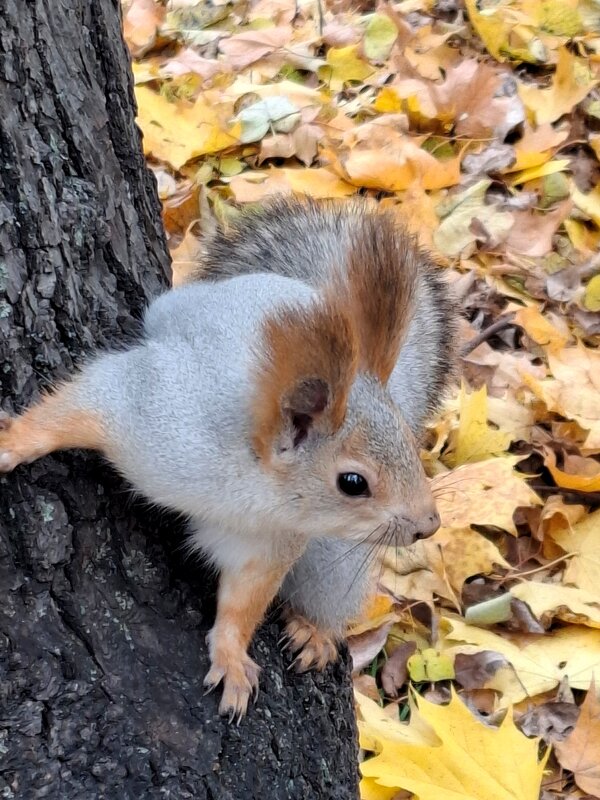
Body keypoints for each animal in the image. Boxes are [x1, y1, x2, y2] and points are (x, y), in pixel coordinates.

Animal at [0, 197, 454, 720]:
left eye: (408, 440)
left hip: (336, 554)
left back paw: (316, 630)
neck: (250, 490)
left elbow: (244, 602)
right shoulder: (154, 413)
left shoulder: (268, 542)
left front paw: (232, 656)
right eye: (353, 483)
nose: (429, 524)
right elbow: (81, 405)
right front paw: (14, 444)